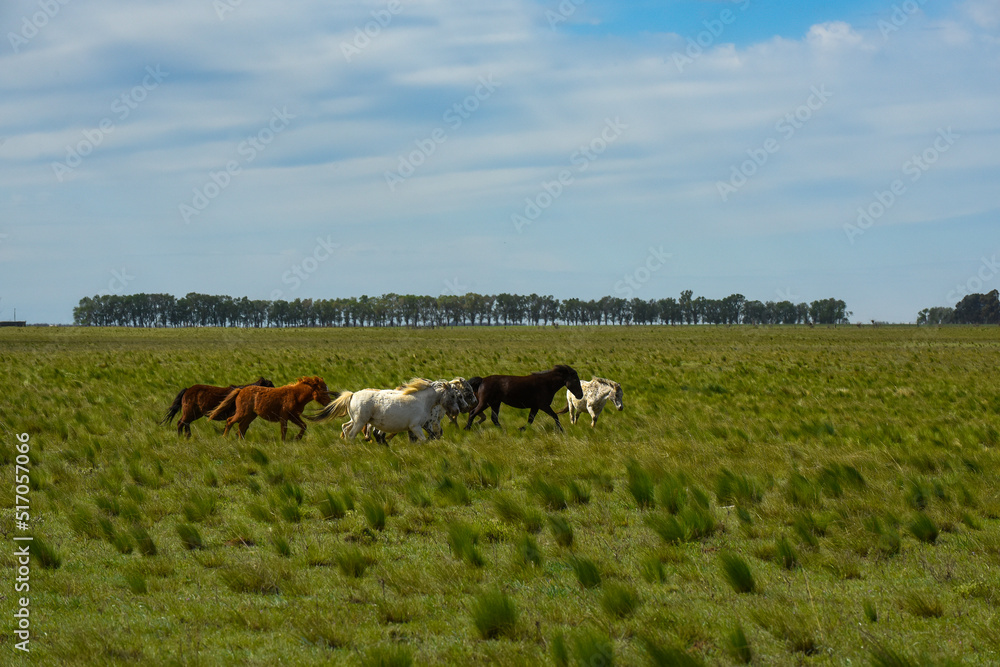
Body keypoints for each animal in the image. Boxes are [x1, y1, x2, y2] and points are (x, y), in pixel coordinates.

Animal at [307, 378, 463, 442]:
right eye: (453, 395)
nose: (456, 411)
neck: (423, 401)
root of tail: (352, 395)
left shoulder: (413, 428)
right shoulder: (416, 426)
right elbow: (424, 440)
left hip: (354, 420)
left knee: (345, 427)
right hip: (360, 422)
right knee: (351, 434)